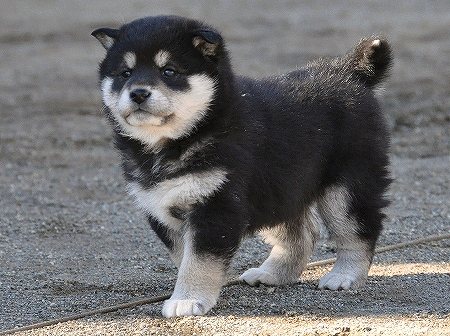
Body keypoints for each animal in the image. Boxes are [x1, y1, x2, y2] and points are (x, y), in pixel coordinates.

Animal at [93, 15, 392, 318]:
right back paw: (273, 273)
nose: (138, 93)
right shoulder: (162, 206)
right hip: (277, 190)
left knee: (358, 232)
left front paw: (187, 299)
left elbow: (197, 260)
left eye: (169, 71)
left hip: (346, 188)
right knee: (303, 234)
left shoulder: (216, 205)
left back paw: (345, 276)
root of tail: (348, 71)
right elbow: (184, 256)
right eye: (125, 74)